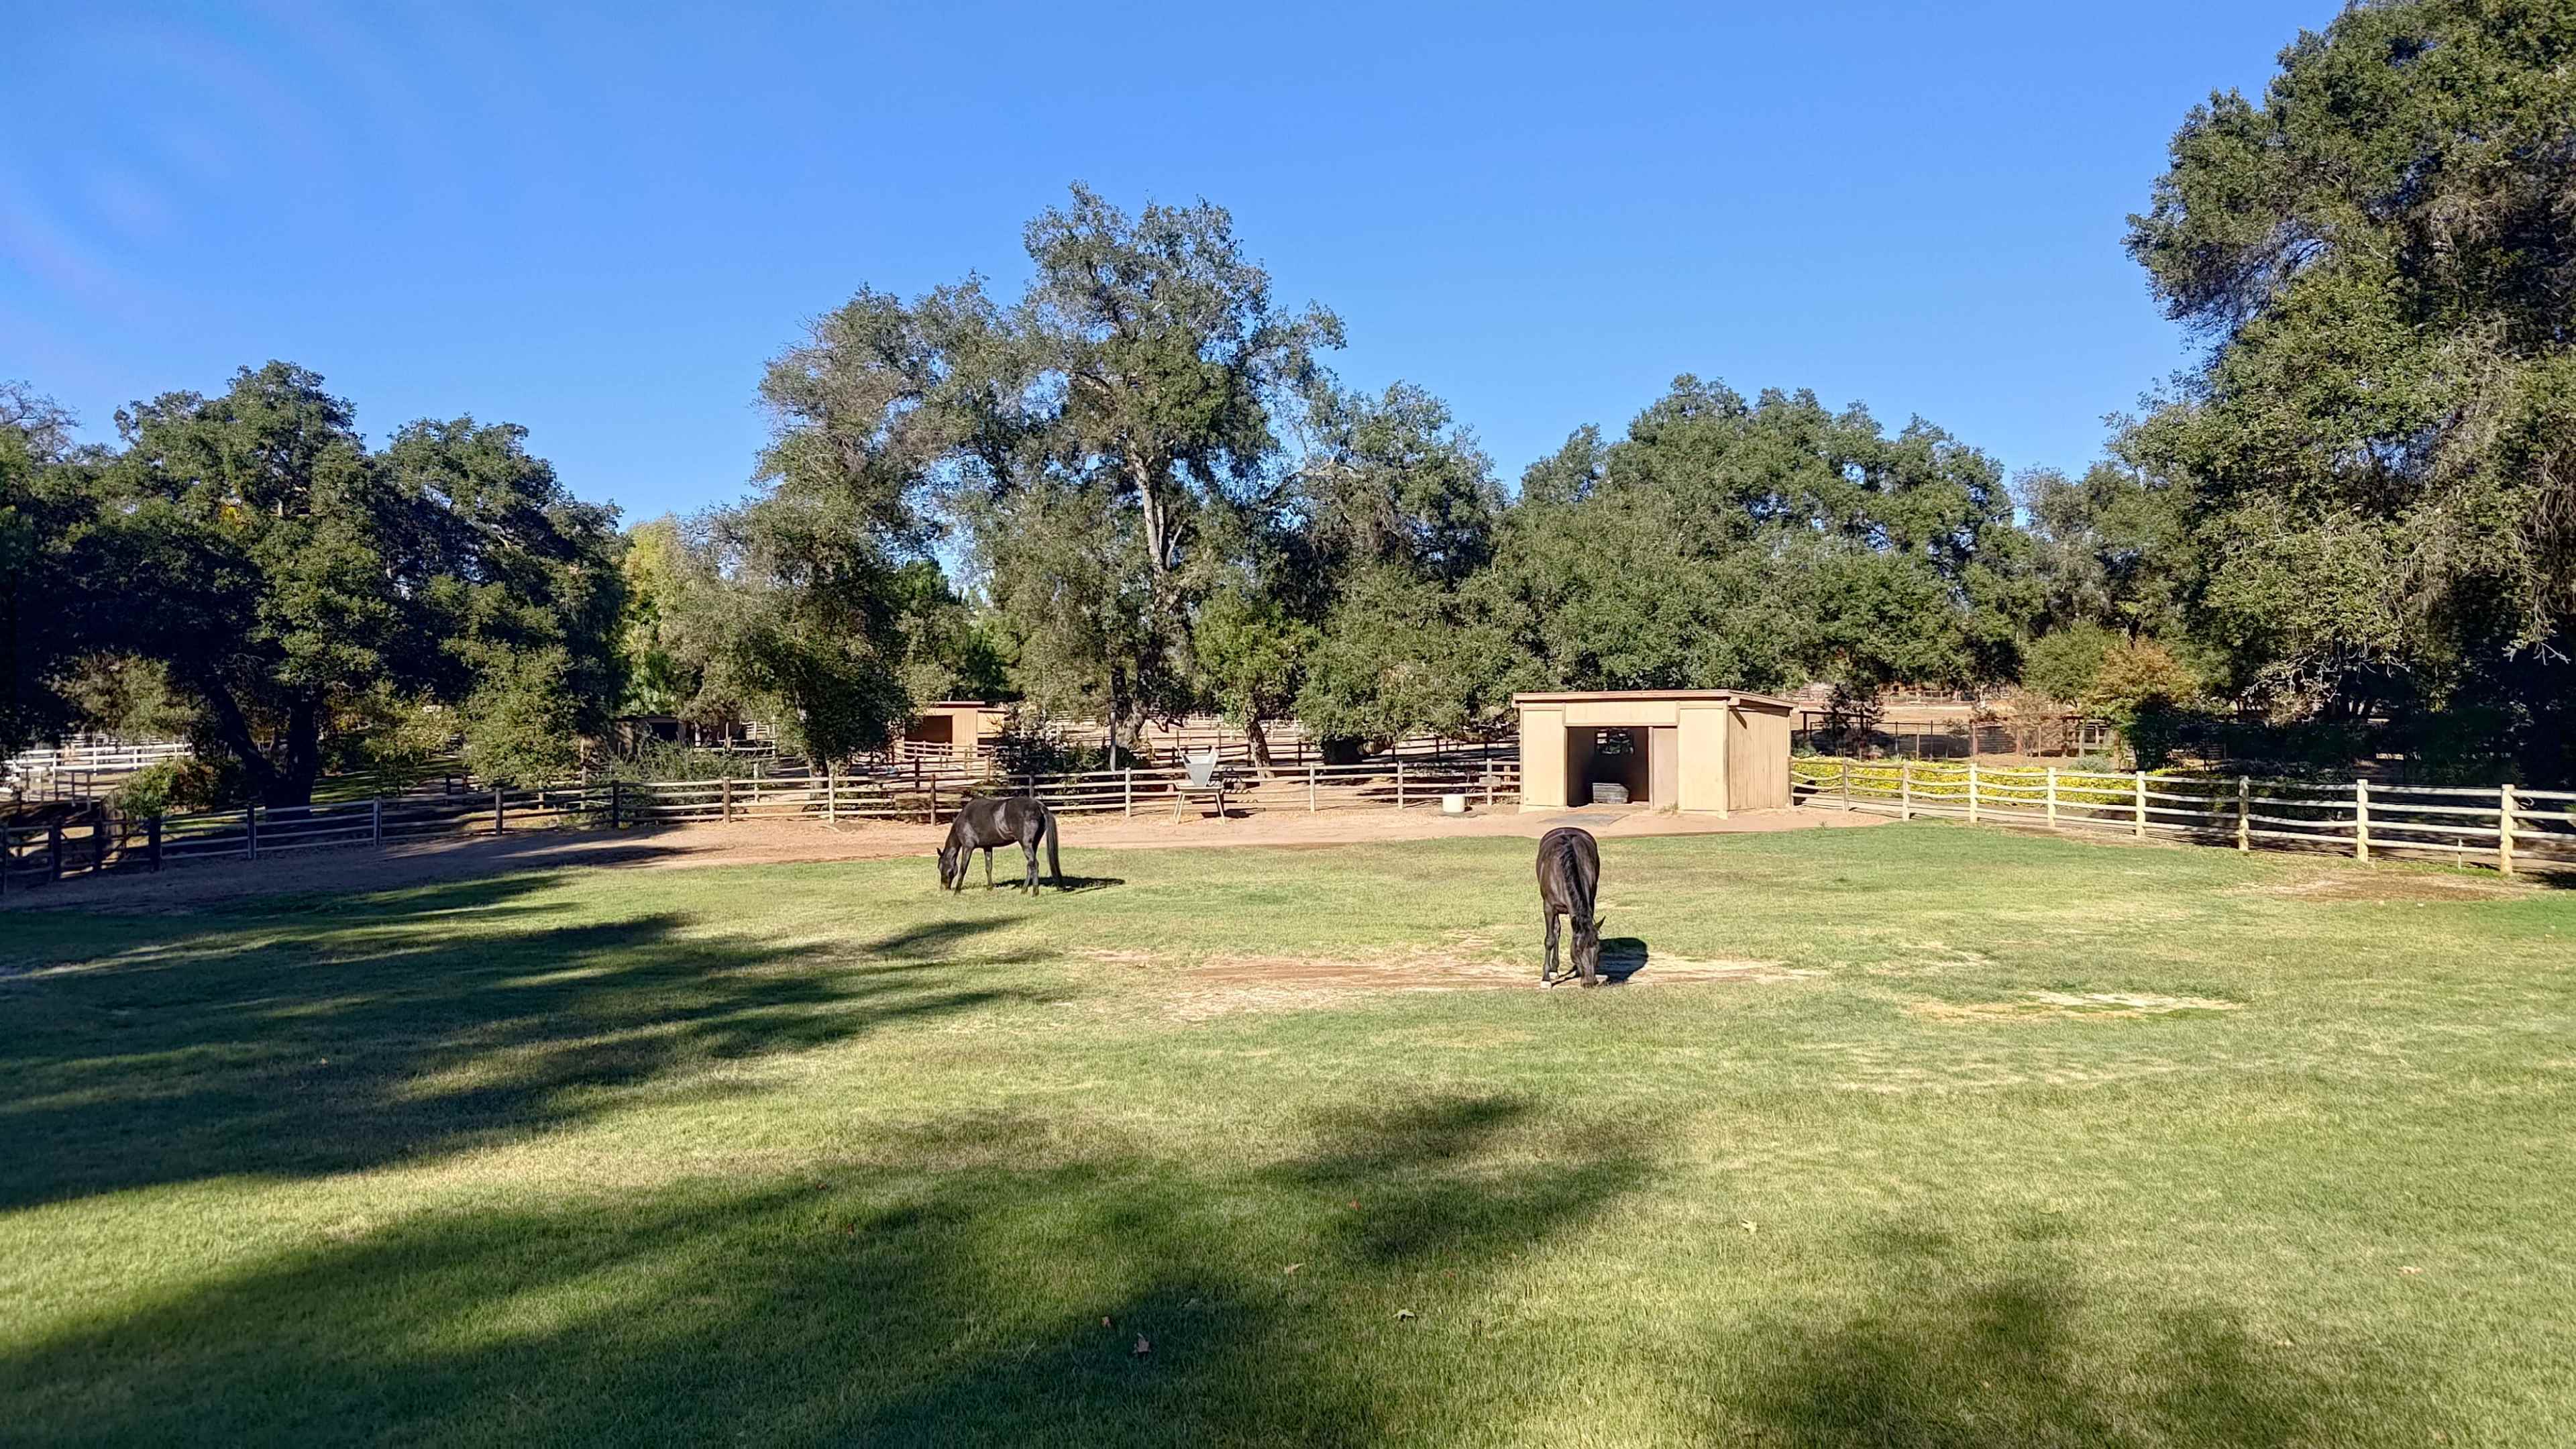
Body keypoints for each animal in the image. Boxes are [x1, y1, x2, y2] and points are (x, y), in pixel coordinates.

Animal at [937, 794, 1062, 894]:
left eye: (940, 867)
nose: (943, 888)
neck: (964, 820)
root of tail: (1038, 805)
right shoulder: (987, 847)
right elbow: (988, 867)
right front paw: (990, 887)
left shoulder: (968, 847)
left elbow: (963, 869)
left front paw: (957, 891)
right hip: (1033, 844)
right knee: (1030, 865)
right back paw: (1024, 890)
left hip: (1026, 844)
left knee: (1034, 864)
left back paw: (1035, 892)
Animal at [1534, 826, 1603, 986]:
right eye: (1578, 951)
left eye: (1598, 950)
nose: (1590, 983)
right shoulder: (1549, 908)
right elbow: (1550, 940)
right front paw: (1545, 978)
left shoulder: (1591, 903)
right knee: (1556, 931)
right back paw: (1553, 971)